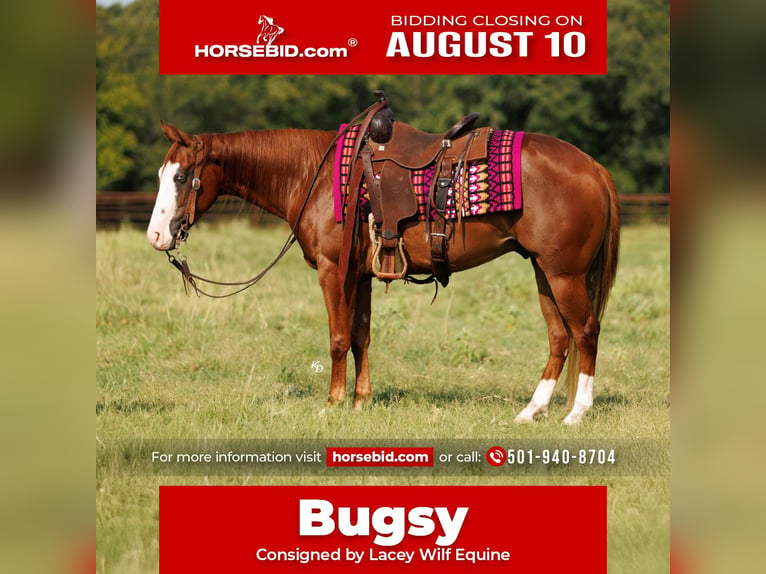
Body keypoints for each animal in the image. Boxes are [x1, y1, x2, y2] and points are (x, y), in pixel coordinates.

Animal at [147, 117, 620, 425]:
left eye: (182, 177)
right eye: (161, 174)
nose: (156, 235)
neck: (315, 176)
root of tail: (593, 166)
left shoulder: (333, 271)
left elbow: (338, 338)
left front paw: (333, 403)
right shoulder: (360, 275)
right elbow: (361, 336)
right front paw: (361, 401)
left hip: (564, 274)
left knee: (586, 331)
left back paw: (577, 413)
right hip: (544, 271)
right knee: (559, 337)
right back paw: (531, 411)